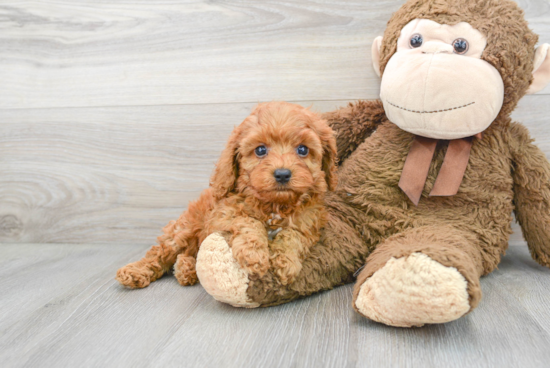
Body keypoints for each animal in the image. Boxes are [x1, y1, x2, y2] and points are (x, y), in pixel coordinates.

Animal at [117, 100, 336, 288]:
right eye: (260, 150)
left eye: (302, 149)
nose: (282, 174)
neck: (275, 205)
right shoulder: (222, 215)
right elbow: (248, 221)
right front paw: (254, 254)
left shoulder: (309, 223)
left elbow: (293, 235)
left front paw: (286, 261)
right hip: (183, 230)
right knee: (160, 253)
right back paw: (135, 271)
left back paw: (186, 269)